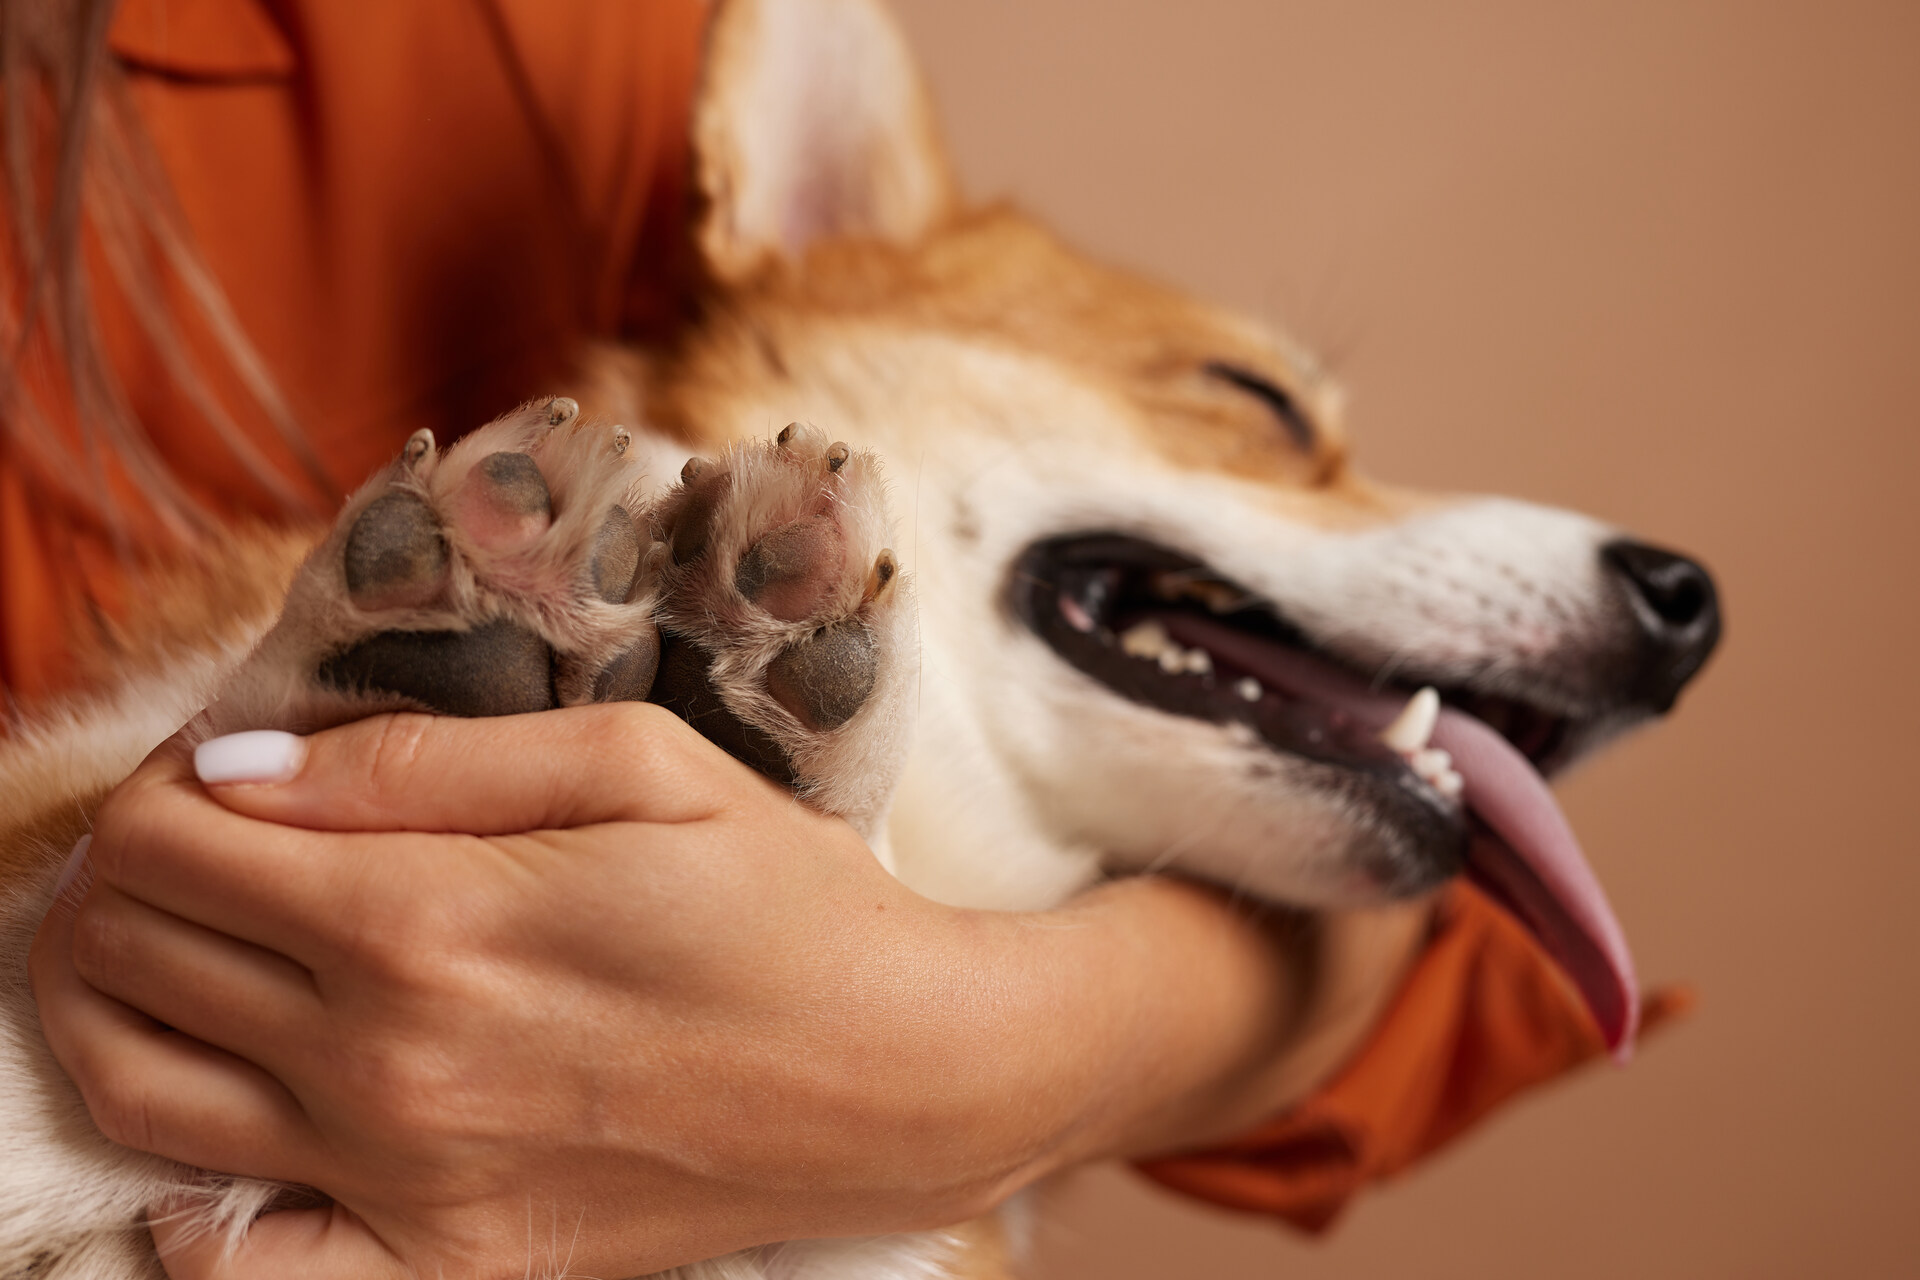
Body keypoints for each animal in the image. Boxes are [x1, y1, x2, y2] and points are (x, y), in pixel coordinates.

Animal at [0, 0, 1720, 1274]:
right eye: (1257, 399)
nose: (1693, 603)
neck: (963, 858)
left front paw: (761, 715)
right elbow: (114, 816)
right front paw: (388, 662)